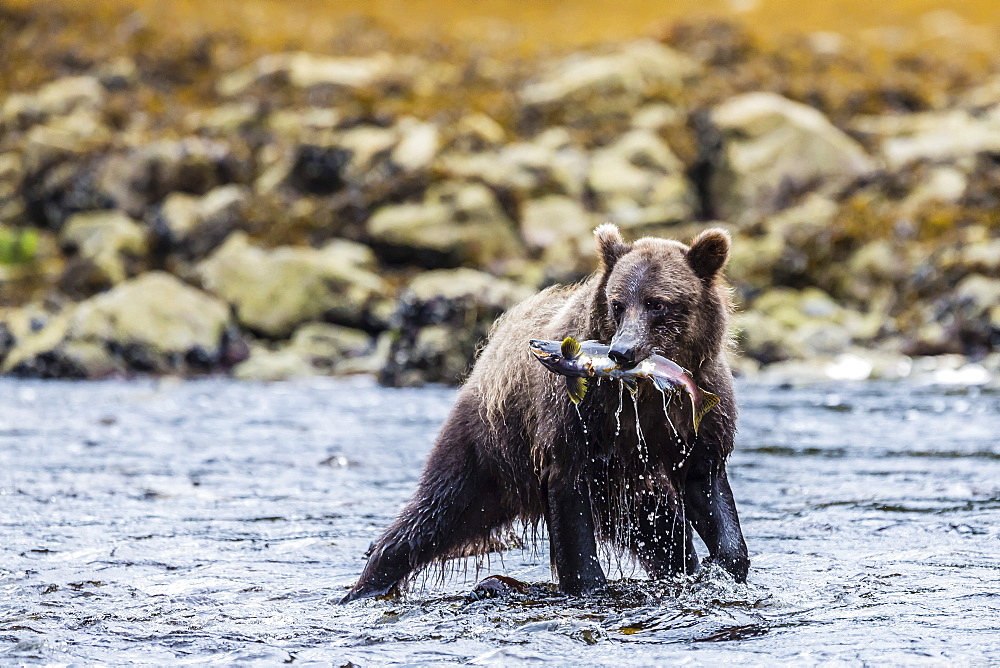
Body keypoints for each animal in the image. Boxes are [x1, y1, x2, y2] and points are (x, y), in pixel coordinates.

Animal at [340, 223, 748, 600]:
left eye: (657, 303)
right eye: (618, 304)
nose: (622, 351)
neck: (644, 390)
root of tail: (491, 346)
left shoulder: (694, 420)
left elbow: (708, 489)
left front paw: (722, 564)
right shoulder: (579, 421)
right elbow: (571, 501)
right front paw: (588, 583)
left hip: (622, 488)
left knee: (661, 532)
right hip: (489, 445)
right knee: (435, 511)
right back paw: (365, 584)